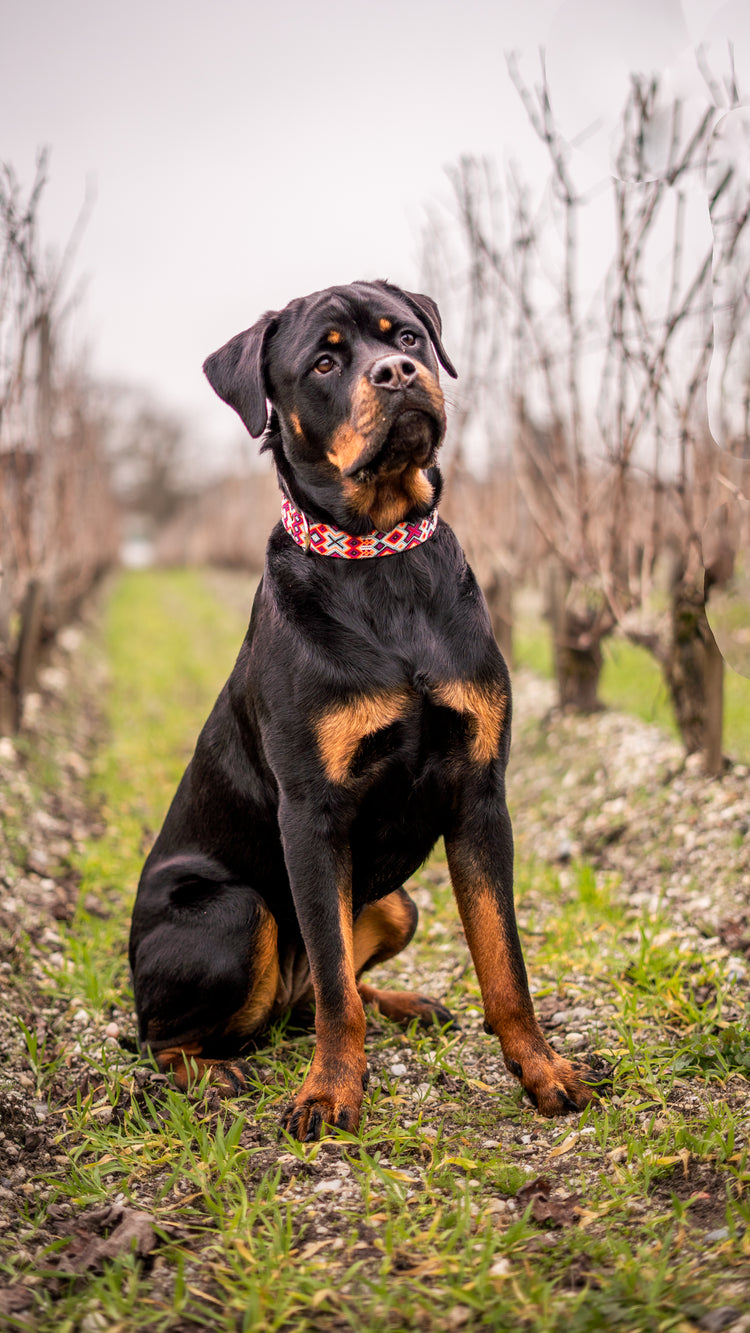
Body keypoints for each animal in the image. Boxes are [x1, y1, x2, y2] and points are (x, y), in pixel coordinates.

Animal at [130, 278, 599, 1135]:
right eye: (323, 361)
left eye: (406, 335)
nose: (398, 372)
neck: (382, 563)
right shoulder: (313, 813)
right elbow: (334, 985)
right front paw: (329, 1092)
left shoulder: (480, 792)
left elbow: (503, 961)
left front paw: (544, 1069)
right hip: (235, 910)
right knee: (173, 1033)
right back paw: (212, 1074)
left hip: (397, 903)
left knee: (320, 985)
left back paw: (406, 1002)